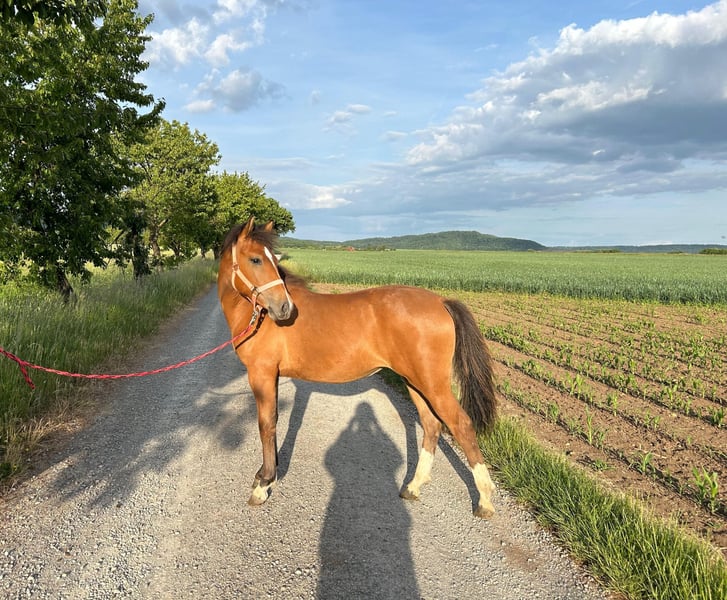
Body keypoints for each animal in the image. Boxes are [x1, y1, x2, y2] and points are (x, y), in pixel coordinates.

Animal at [217, 217, 499, 518]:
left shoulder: (262, 374)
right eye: (256, 259)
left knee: (461, 425)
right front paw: (266, 477)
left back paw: (484, 500)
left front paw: (263, 484)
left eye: (271, 258)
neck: (257, 317)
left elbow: (267, 424)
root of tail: (440, 301)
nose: (284, 308)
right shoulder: (272, 377)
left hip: (433, 385)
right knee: (432, 425)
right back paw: (413, 487)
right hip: (415, 382)